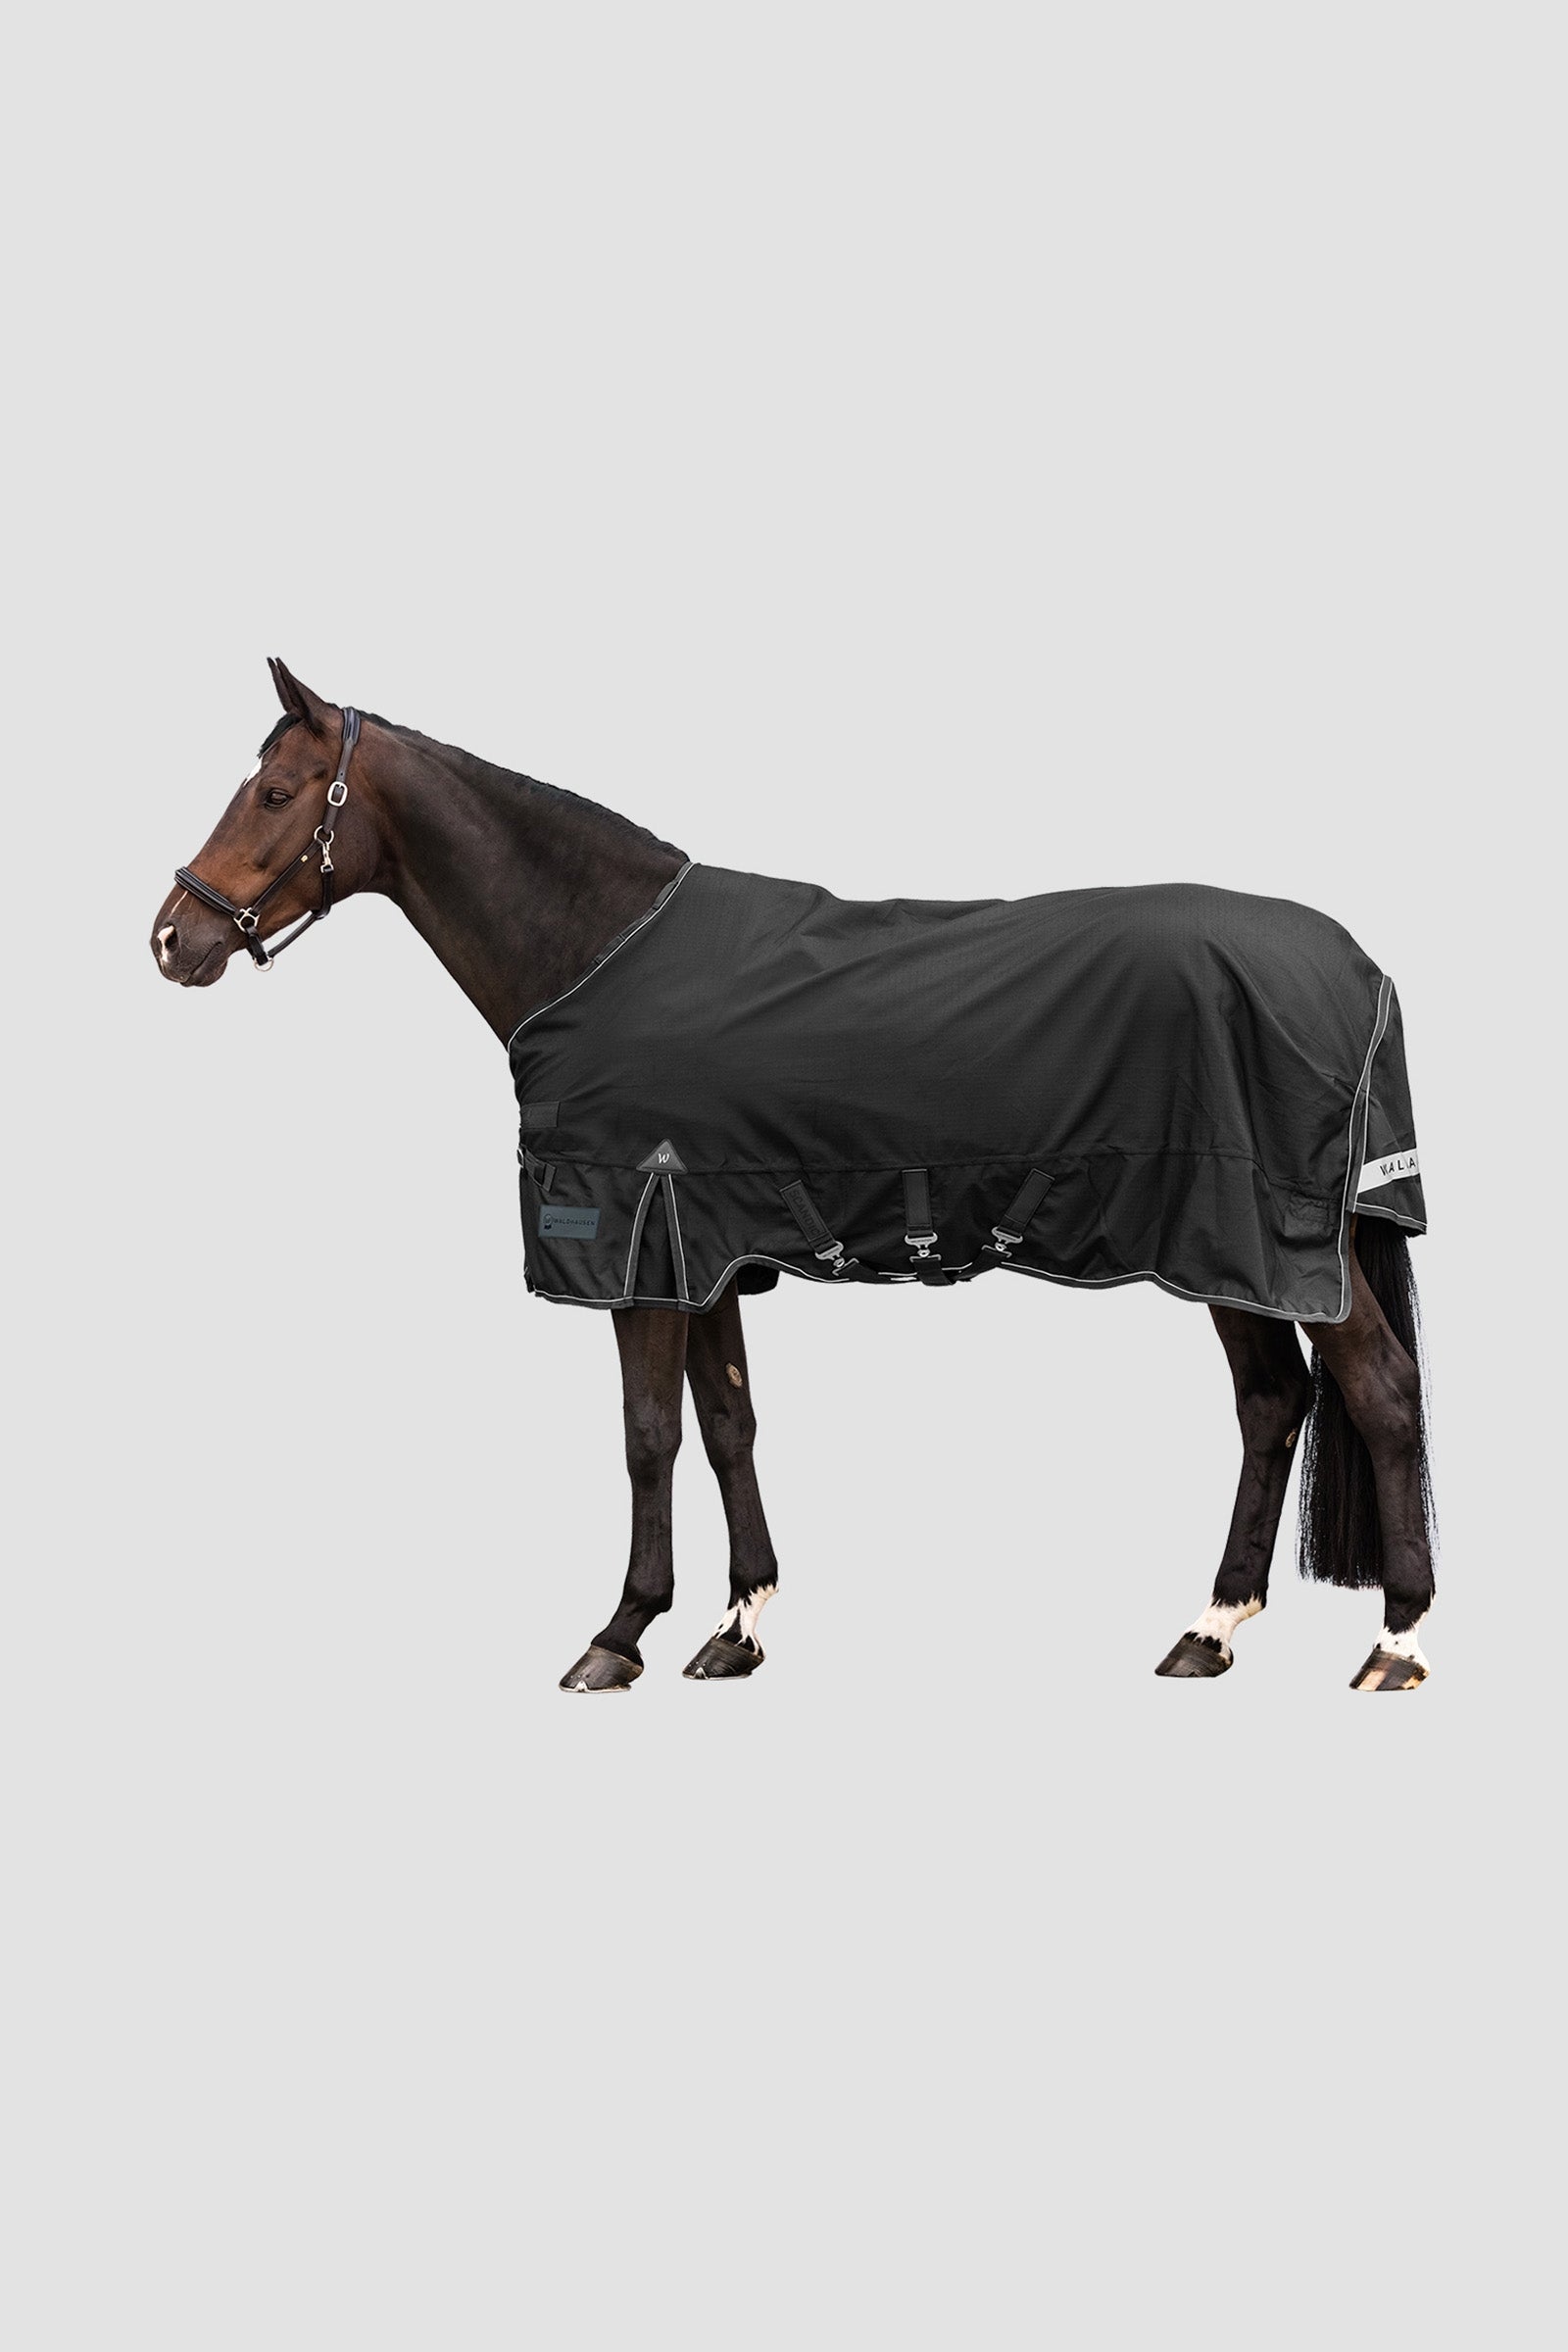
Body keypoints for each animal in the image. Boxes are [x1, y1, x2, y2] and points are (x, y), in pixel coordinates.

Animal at [151, 661, 1436, 1695]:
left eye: (275, 794)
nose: (172, 938)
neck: (599, 949)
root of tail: (1355, 967)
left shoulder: (636, 1248)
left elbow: (646, 1438)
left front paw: (618, 1635)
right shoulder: (709, 1249)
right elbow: (728, 1424)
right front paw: (737, 1627)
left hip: (1264, 1237)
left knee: (1376, 1389)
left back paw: (1397, 1642)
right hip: (1230, 1253)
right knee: (1271, 1406)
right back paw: (1209, 1630)